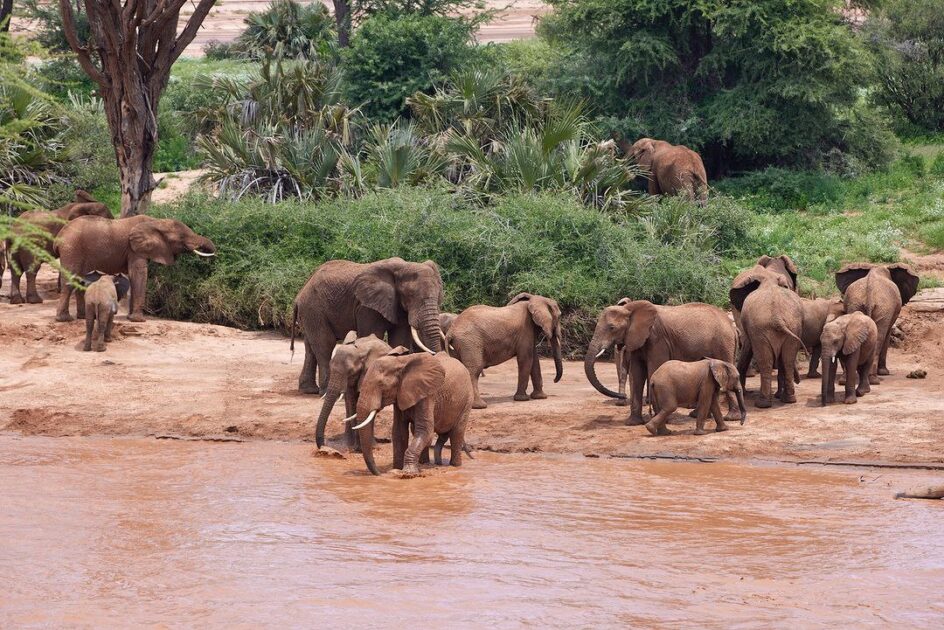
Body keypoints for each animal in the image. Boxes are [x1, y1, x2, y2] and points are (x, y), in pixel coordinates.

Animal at [55, 216, 218, 324]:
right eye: (181, 237)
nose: (216, 255)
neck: (155, 222)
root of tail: (60, 234)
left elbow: (134, 277)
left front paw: (130, 318)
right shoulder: (135, 249)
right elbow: (138, 274)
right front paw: (138, 320)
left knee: (79, 281)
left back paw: (83, 317)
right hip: (71, 249)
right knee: (69, 281)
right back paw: (64, 319)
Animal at [290, 256, 444, 396]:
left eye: (439, 296)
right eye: (410, 295)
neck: (403, 266)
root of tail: (300, 294)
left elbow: (399, 340)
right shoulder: (366, 307)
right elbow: (372, 335)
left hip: (310, 313)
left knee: (310, 348)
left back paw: (309, 390)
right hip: (314, 309)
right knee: (324, 345)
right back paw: (325, 392)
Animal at [352, 350, 476, 478]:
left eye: (382, 385)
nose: (379, 474)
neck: (401, 362)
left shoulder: (427, 394)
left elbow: (425, 430)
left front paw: (407, 473)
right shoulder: (401, 394)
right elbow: (399, 432)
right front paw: (397, 469)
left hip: (467, 400)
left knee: (457, 433)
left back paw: (454, 466)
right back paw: (427, 464)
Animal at [584, 300, 736, 428]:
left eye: (612, 328)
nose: (622, 397)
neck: (630, 308)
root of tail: (730, 324)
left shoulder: (657, 338)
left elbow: (653, 369)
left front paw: (662, 420)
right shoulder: (637, 339)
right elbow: (636, 374)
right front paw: (632, 423)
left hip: (723, 343)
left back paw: (731, 417)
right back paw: (698, 415)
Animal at [732, 266, 804, 410]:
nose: (798, 381)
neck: (768, 279)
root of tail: (777, 317)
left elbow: (749, 344)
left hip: (763, 329)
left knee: (765, 361)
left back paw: (762, 404)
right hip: (793, 326)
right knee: (787, 360)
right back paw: (789, 400)